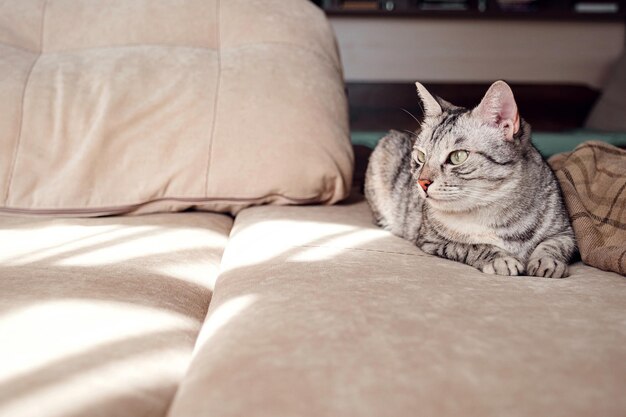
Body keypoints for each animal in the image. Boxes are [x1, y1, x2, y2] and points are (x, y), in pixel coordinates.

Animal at [364, 80, 572, 278]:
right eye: (421, 157)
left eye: (458, 156)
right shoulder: (431, 241)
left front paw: (547, 262)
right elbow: (473, 246)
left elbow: (552, 245)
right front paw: (500, 258)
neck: (494, 211)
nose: (422, 183)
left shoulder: (565, 233)